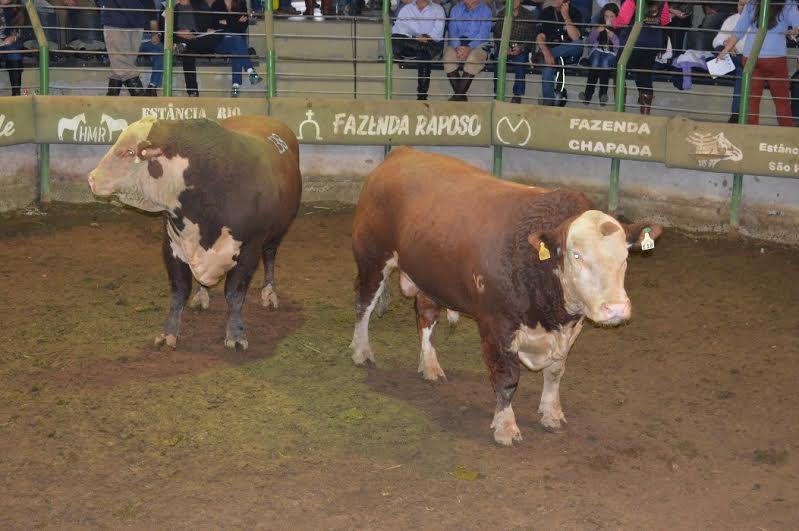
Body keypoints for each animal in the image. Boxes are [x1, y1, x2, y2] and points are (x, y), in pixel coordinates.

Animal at [88, 115, 302, 350]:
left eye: (129, 152)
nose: (91, 178)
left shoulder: (250, 247)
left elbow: (234, 293)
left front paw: (236, 334)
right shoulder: (172, 245)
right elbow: (179, 292)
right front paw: (168, 333)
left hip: (277, 231)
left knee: (270, 256)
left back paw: (269, 293)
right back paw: (201, 295)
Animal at [350, 146, 662, 446]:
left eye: (625, 256)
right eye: (576, 255)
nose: (616, 308)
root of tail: (401, 152)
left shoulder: (570, 328)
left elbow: (556, 371)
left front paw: (551, 414)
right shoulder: (496, 325)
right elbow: (507, 379)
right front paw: (506, 427)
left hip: (428, 276)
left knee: (426, 313)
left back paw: (430, 365)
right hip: (372, 258)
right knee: (364, 304)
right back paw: (361, 351)